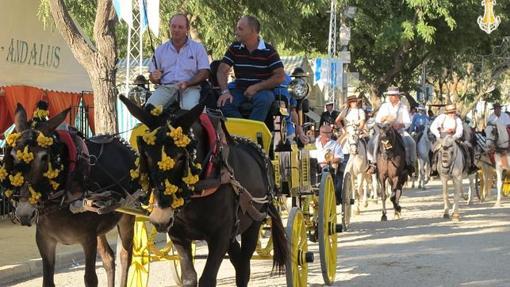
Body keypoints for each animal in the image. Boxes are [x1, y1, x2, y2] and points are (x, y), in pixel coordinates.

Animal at [0, 106, 136, 287]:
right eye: (13, 155)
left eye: (45, 157)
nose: (24, 213)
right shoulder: (44, 240)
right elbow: (47, 281)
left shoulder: (88, 238)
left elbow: (90, 279)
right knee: (108, 258)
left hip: (128, 214)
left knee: (125, 257)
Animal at [119, 97, 286, 287]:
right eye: (146, 155)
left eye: (180, 157)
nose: (160, 218)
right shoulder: (178, 235)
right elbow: (189, 278)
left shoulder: (220, 236)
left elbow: (207, 279)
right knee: (238, 260)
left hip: (254, 221)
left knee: (244, 266)